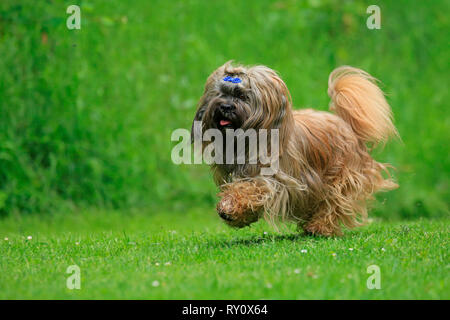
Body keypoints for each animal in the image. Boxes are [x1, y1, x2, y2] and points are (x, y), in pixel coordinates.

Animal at [190, 61, 398, 236]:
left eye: (242, 96)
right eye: (220, 93)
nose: (225, 106)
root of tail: (346, 124)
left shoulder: (277, 181)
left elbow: (252, 189)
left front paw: (231, 207)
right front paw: (233, 212)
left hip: (343, 176)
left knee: (335, 201)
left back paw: (319, 227)